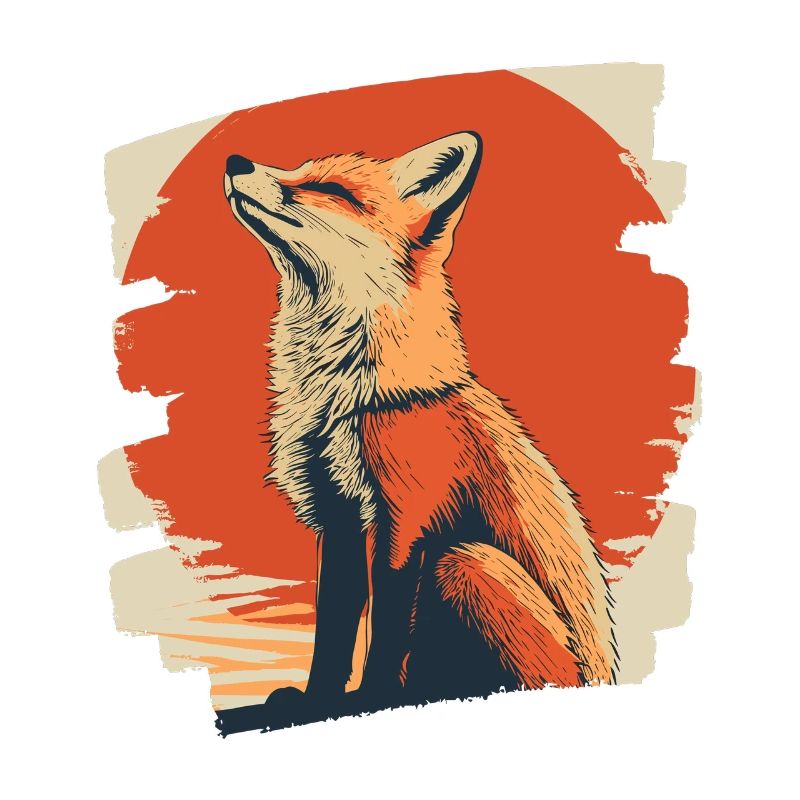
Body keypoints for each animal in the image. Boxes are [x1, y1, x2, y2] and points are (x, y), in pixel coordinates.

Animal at [220, 131, 617, 731]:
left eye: (329, 189)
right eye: (298, 169)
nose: (234, 160)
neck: (349, 400)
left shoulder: (407, 521)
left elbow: (386, 634)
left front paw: (372, 699)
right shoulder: (336, 517)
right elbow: (333, 631)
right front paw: (318, 702)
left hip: (465, 562)